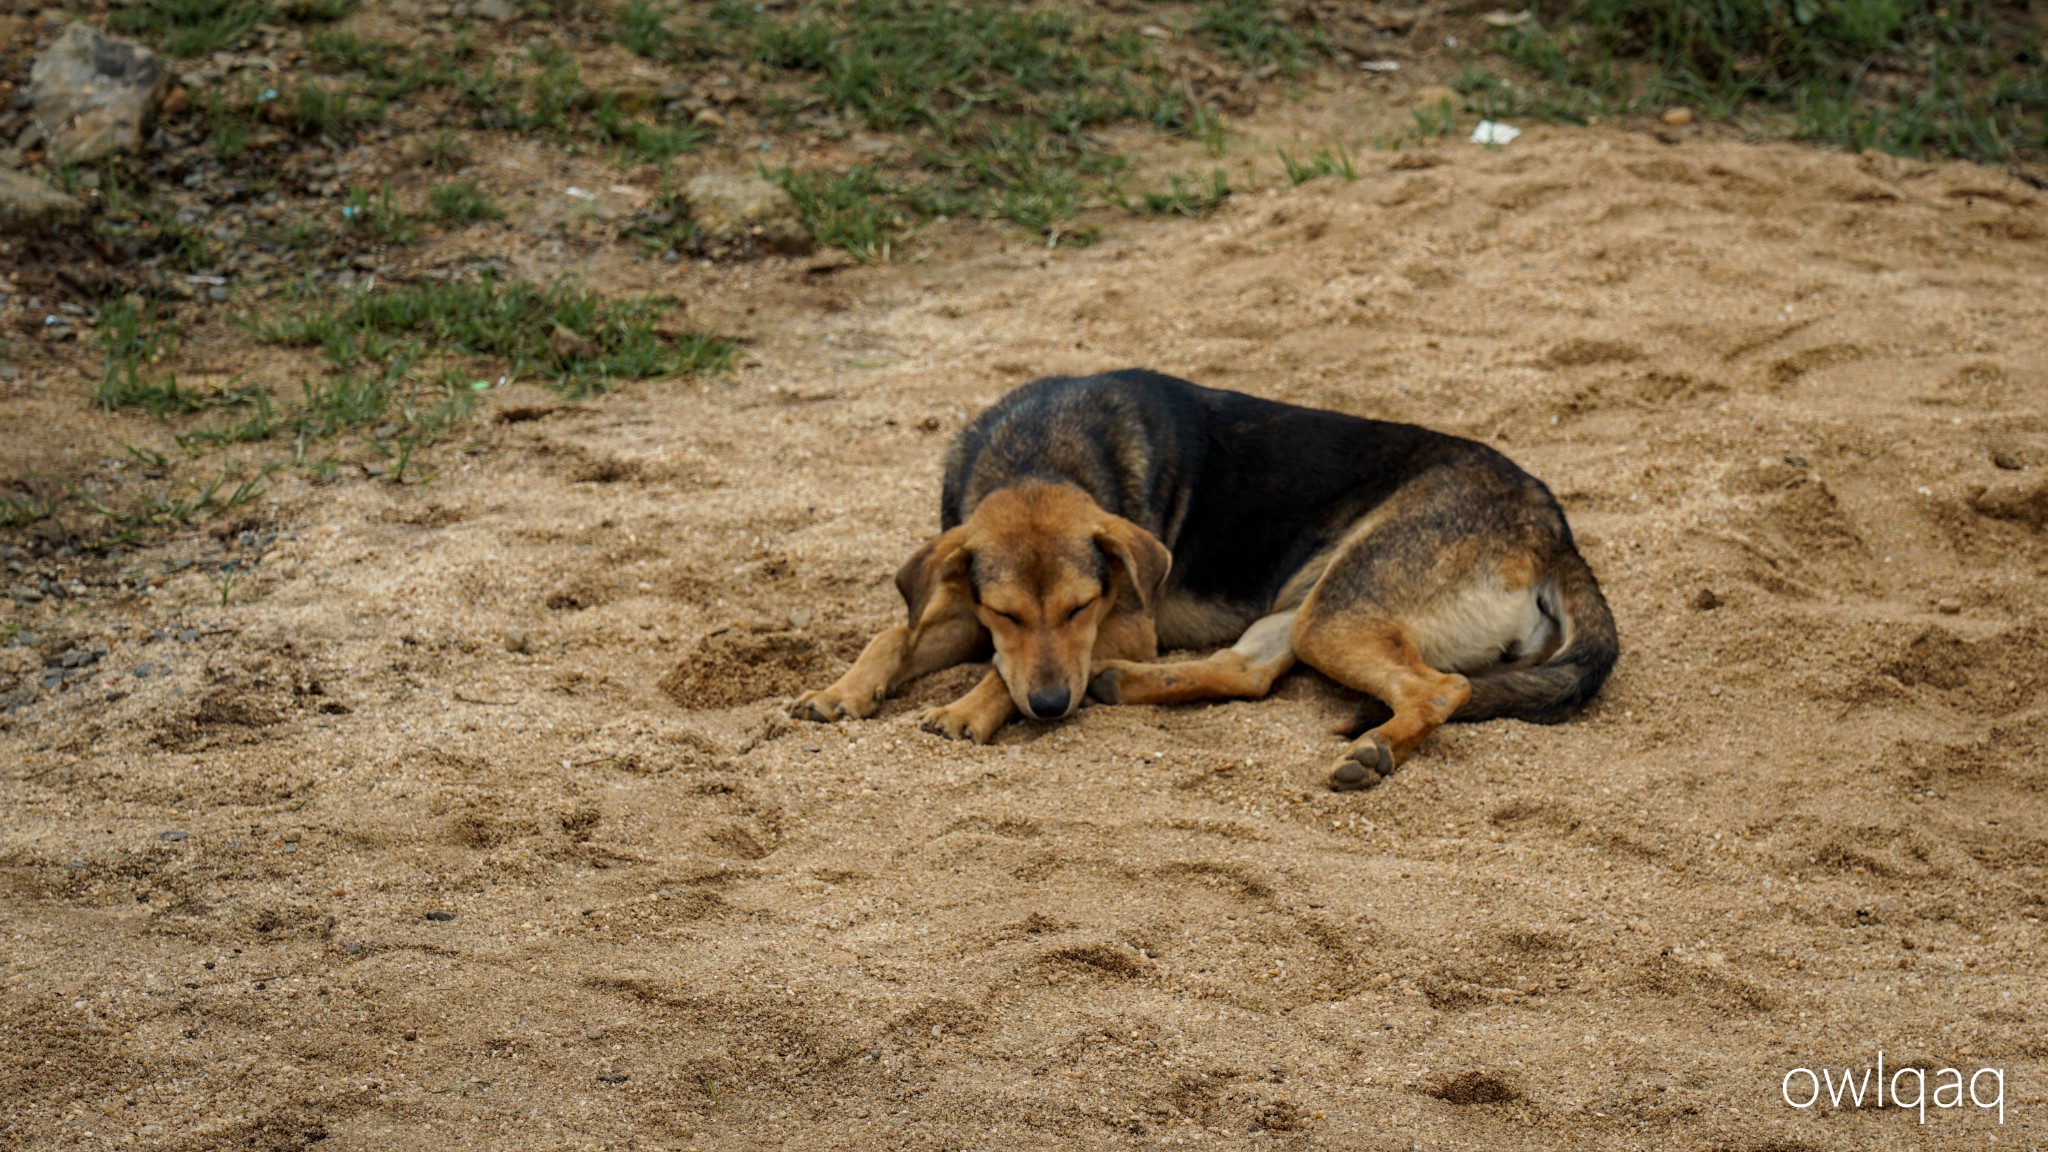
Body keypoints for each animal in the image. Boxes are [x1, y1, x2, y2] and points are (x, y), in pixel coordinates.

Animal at [798, 366, 1613, 787]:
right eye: (1006, 613)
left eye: (1082, 606)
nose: (1054, 707)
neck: (1038, 454)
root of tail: (1553, 528)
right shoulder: (965, 606)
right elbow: (892, 637)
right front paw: (839, 692)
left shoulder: (1124, 624)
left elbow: (1007, 672)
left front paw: (969, 709)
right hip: (1307, 603)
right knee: (1249, 673)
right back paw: (1124, 686)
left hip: (1337, 605)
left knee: (1443, 687)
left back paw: (1372, 750)